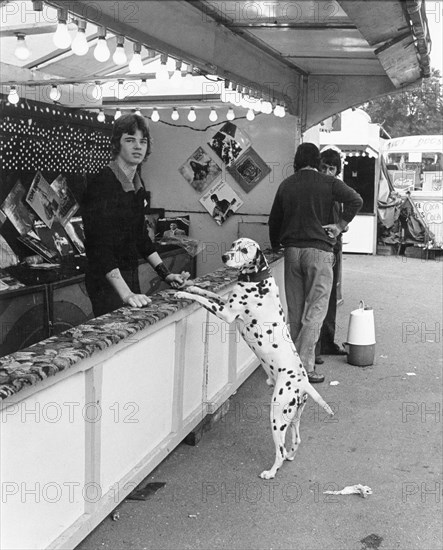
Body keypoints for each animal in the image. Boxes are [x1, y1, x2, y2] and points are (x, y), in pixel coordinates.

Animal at [176, 239, 332, 480]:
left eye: (244, 250)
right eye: (233, 245)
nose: (224, 256)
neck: (258, 280)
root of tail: (302, 381)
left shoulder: (226, 312)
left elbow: (202, 299)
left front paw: (183, 295)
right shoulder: (225, 302)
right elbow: (206, 291)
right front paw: (192, 287)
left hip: (277, 415)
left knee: (280, 450)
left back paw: (271, 471)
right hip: (293, 418)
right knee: (296, 440)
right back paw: (291, 456)